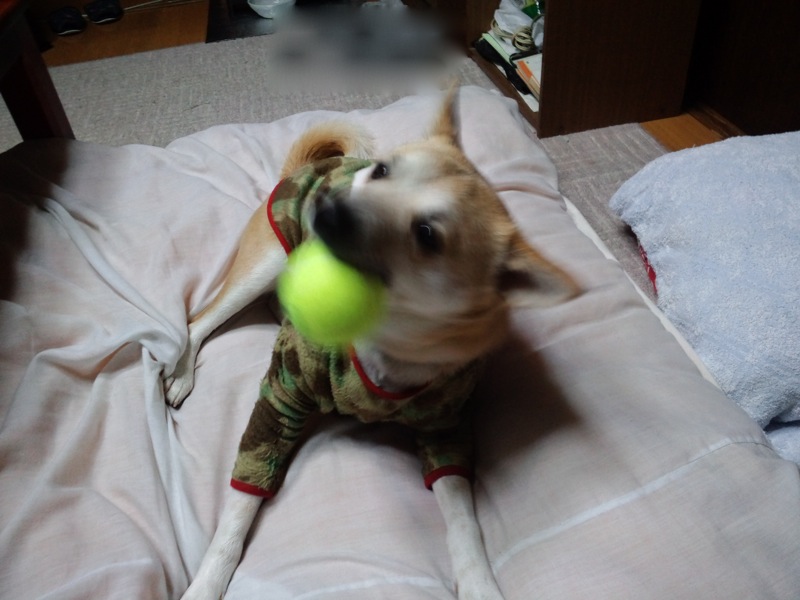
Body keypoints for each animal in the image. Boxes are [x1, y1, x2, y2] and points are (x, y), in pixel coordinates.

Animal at [165, 88, 579, 600]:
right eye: (382, 171)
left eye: (427, 235)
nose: (326, 206)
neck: (383, 340)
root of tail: (308, 167)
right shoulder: (281, 399)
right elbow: (241, 505)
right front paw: (208, 581)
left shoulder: (446, 428)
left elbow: (463, 519)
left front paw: (479, 582)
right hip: (266, 263)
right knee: (197, 321)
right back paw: (183, 374)